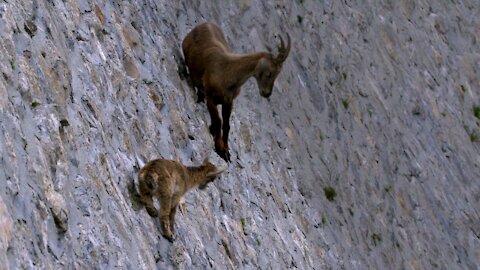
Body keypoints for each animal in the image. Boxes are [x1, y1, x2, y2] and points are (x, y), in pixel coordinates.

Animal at [182, 22, 290, 160]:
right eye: (269, 73)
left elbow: (227, 125)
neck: (228, 73)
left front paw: (226, 150)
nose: (266, 93)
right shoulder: (211, 96)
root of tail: (205, 24)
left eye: (277, 74)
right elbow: (219, 121)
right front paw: (219, 148)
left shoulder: (229, 101)